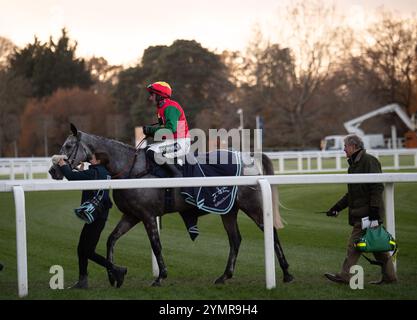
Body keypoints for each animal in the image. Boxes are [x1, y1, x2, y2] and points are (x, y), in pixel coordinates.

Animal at [48, 124, 292, 286]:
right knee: (235, 240)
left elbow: (156, 245)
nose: (53, 170)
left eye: (68, 145)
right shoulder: (131, 215)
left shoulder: (147, 215)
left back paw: (287, 273)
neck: (132, 169)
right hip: (227, 209)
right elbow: (111, 239)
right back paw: (224, 276)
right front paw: (114, 275)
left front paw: (160, 276)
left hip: (253, 206)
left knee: (271, 233)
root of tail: (250, 158)